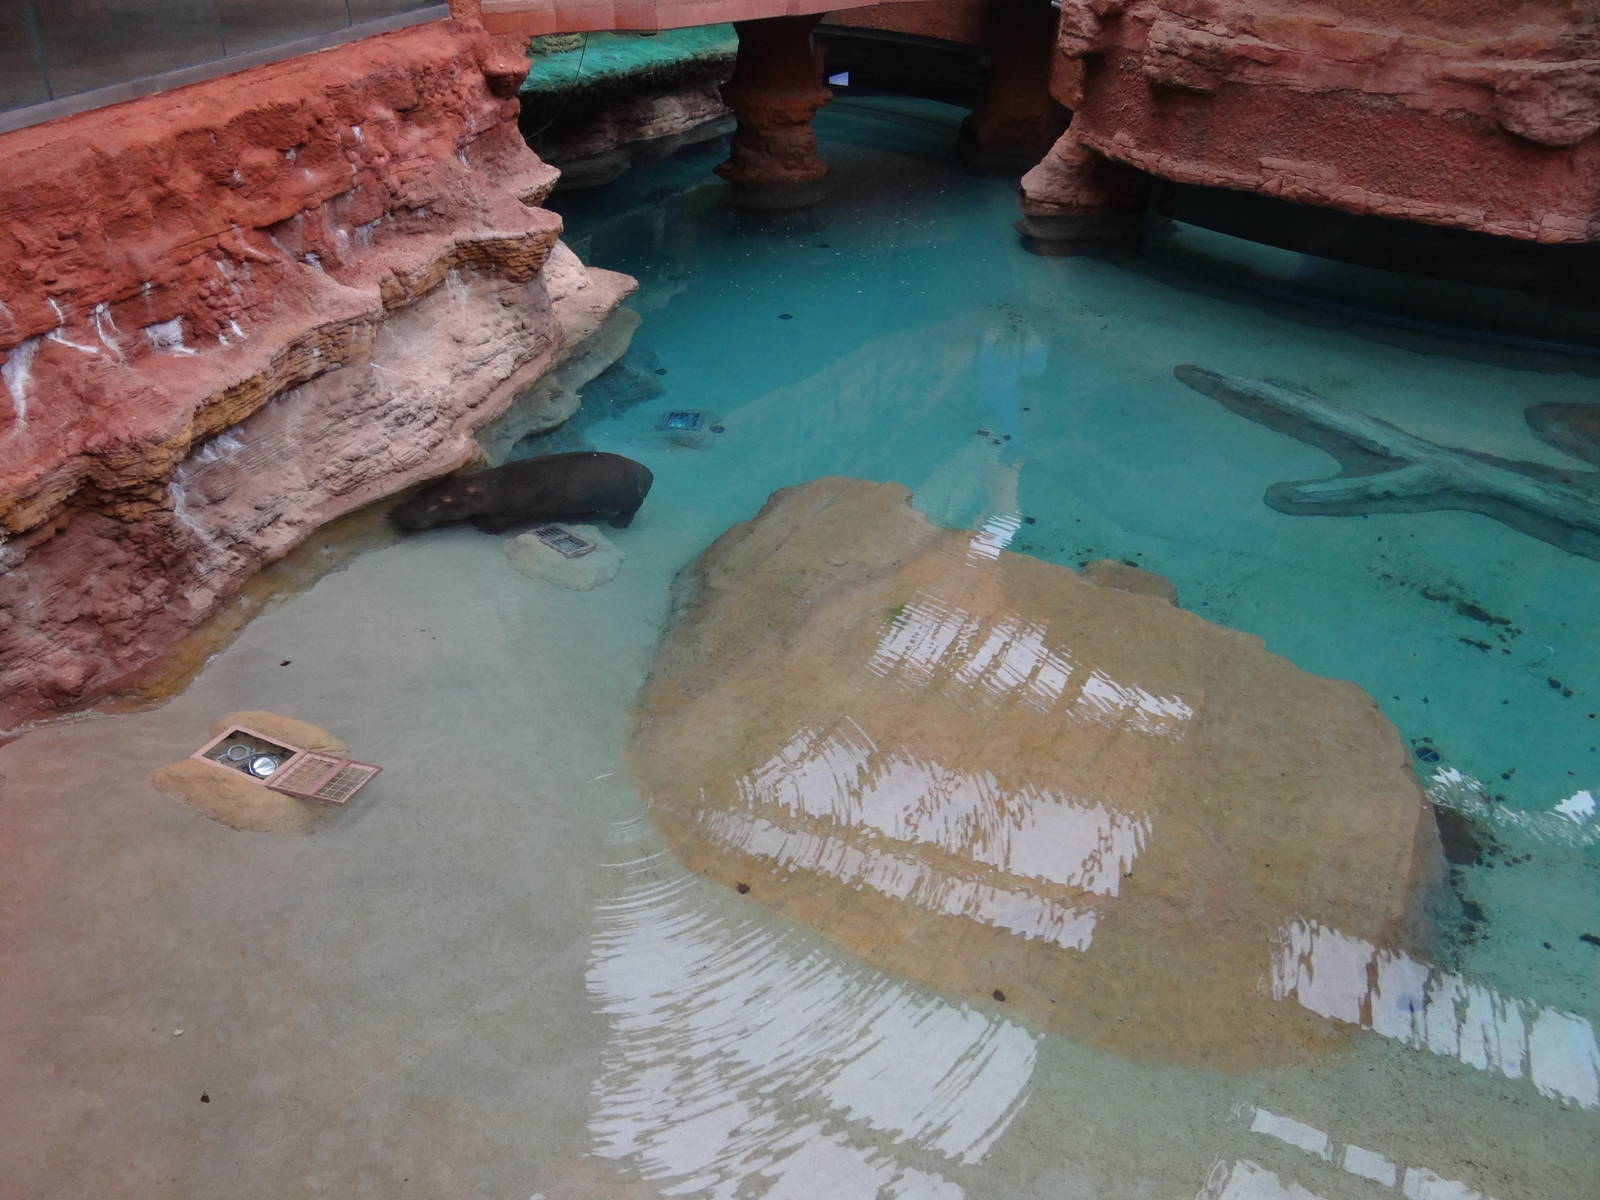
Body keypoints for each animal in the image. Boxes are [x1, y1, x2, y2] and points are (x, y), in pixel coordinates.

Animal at [391, 452, 653, 534]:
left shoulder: (514, 510)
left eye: (442, 500)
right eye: (423, 490)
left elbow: (496, 521)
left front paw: (481, 526)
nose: (399, 511)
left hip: (628, 499)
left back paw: (617, 525)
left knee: (631, 510)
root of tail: (646, 470)